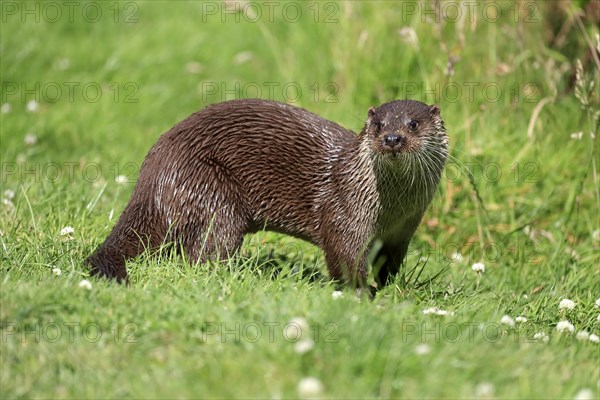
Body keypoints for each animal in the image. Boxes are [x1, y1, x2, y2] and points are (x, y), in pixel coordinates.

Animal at [86, 98, 448, 290]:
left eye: (413, 124)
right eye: (378, 125)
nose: (392, 138)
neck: (392, 209)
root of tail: (153, 175)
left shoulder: (404, 230)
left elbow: (390, 262)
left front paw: (389, 288)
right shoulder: (345, 211)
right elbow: (344, 255)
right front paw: (362, 292)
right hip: (211, 192)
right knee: (203, 253)